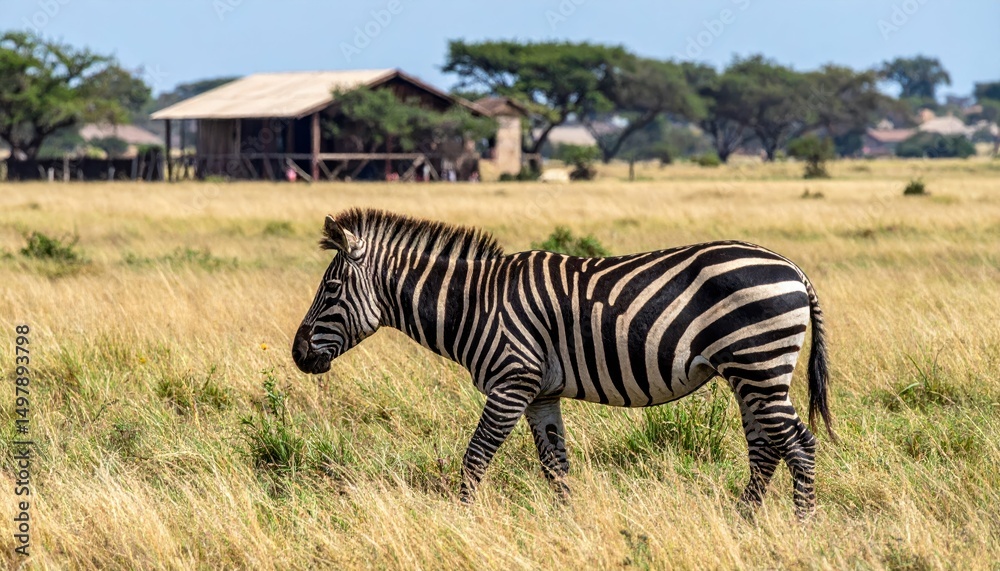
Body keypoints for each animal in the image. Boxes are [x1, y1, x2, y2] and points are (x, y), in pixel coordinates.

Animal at [292, 209, 835, 519]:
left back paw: (800, 529)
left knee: (799, 445)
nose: (298, 355)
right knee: (765, 449)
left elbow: (476, 457)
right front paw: (567, 526)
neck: (474, 304)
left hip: (758, 365)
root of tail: (793, 268)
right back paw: (742, 524)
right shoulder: (540, 393)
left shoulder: (512, 380)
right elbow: (555, 465)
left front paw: (459, 521)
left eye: (331, 289)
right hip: (750, 374)